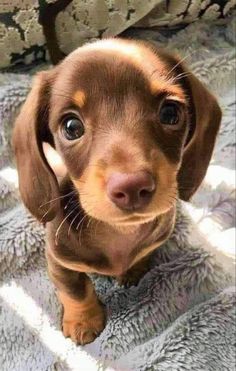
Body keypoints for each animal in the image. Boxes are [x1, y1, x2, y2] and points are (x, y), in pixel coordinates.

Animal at [12, 37, 221, 346]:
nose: (131, 187)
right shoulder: (58, 261)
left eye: (170, 113)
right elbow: (75, 290)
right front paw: (83, 320)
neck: (118, 232)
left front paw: (134, 268)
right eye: (71, 126)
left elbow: (143, 254)